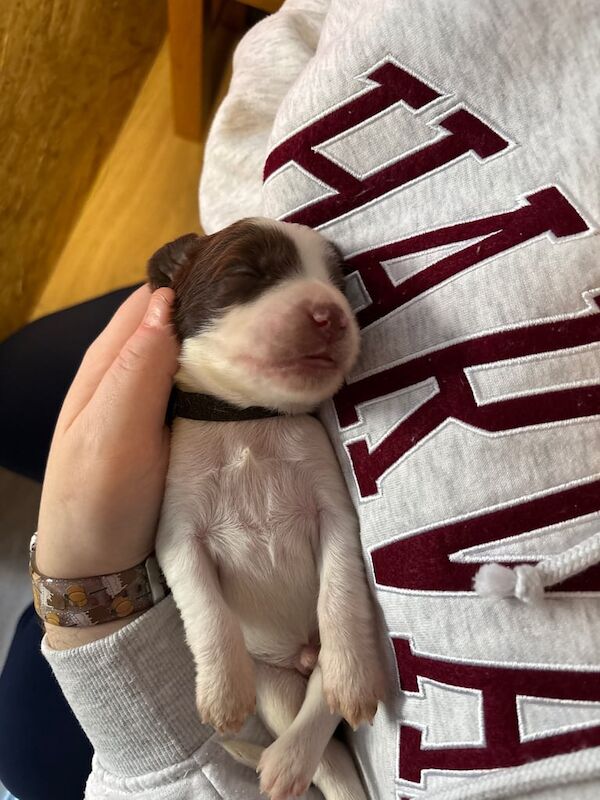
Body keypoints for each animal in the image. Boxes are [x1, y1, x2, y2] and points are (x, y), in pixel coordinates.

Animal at [148, 219, 386, 800]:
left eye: (339, 286)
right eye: (244, 272)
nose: (331, 315)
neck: (248, 421)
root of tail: (302, 656)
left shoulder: (336, 515)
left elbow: (342, 593)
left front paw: (351, 673)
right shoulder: (178, 538)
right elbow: (207, 612)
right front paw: (222, 692)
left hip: (322, 661)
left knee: (325, 707)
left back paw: (291, 757)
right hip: (274, 685)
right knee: (321, 749)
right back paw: (287, 765)